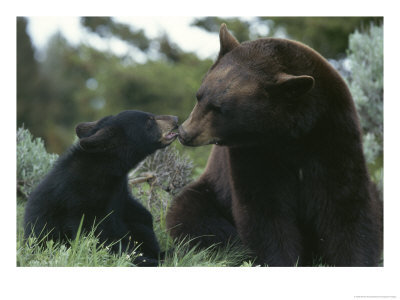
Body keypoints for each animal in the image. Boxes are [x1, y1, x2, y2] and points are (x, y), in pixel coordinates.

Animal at [165, 24, 382, 266]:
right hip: (210, 192)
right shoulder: (255, 152)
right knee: (192, 214)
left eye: (220, 109)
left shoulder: (332, 133)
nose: (185, 133)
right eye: (199, 96)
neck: (290, 133)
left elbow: (344, 205)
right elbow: (264, 210)